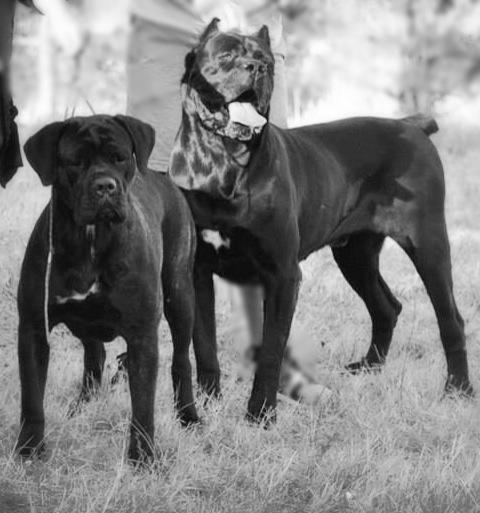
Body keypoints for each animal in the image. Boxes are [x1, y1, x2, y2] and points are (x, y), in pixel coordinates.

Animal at [15, 114, 198, 462]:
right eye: (75, 161)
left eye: (120, 157)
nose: (104, 186)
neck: (90, 237)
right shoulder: (34, 328)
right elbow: (32, 398)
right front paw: (29, 449)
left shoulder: (142, 335)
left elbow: (143, 405)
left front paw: (143, 457)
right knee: (94, 354)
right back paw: (82, 406)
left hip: (180, 294)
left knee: (181, 360)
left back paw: (189, 416)